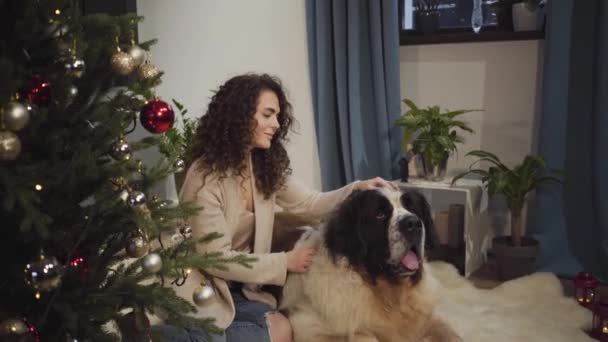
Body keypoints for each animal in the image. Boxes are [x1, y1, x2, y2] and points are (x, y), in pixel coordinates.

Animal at [280, 187, 460, 342]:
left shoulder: (427, 317)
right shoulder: (308, 325)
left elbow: (449, 331)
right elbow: (363, 334)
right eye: (380, 214)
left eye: (413, 209)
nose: (414, 223)